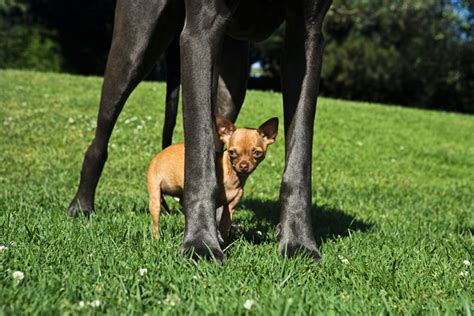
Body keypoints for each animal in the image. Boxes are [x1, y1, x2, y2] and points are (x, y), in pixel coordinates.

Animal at [148, 115, 278, 241]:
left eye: (257, 153)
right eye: (232, 152)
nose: (243, 166)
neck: (232, 177)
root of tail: (158, 155)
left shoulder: (230, 208)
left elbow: (224, 227)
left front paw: (224, 243)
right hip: (155, 199)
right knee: (156, 223)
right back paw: (157, 240)